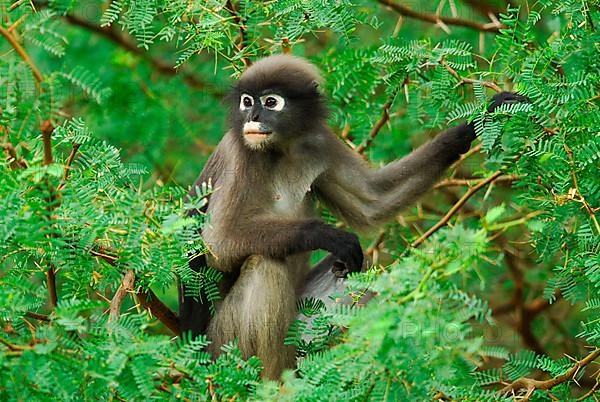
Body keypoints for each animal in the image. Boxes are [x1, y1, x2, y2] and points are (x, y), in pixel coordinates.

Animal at [178, 55, 524, 378]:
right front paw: (327, 235)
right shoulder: (240, 153)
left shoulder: (319, 142)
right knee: (265, 265)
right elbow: (219, 243)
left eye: (271, 102)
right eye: (247, 101)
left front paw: (478, 123)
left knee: (358, 270)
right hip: (225, 342)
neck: (281, 150)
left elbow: (372, 202)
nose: (252, 117)